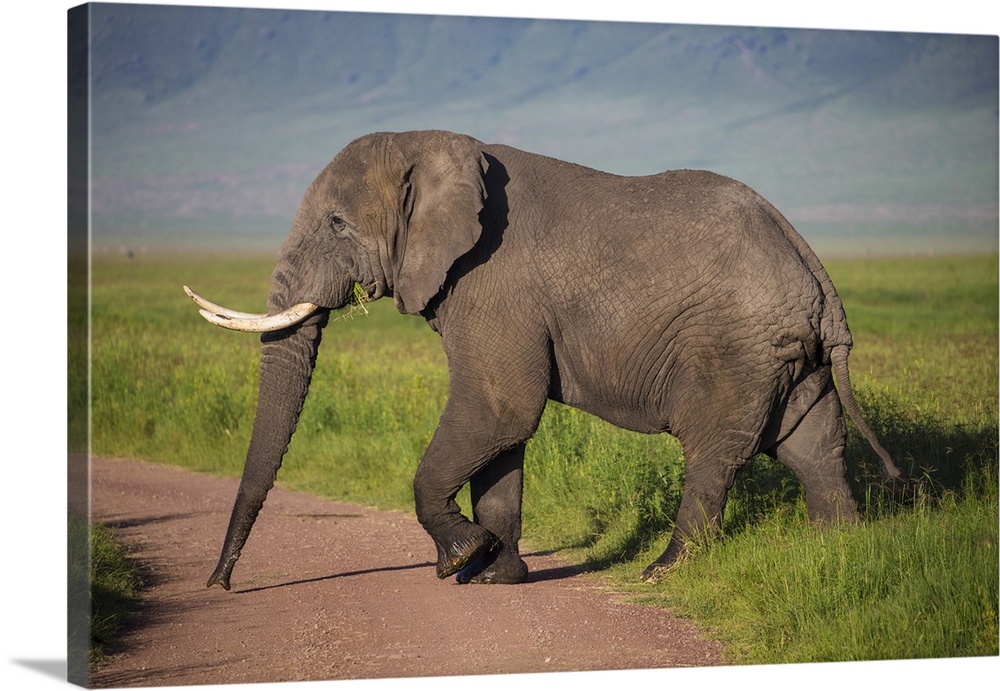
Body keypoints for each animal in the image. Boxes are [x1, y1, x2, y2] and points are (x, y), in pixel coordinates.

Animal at [188, 128, 908, 588]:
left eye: (337, 224)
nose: (219, 584)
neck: (431, 145)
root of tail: (817, 273)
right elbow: (502, 433)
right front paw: (496, 576)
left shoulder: (491, 284)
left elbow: (502, 407)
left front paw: (458, 561)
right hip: (791, 356)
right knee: (813, 446)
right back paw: (838, 552)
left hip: (735, 350)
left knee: (714, 454)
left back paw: (663, 571)